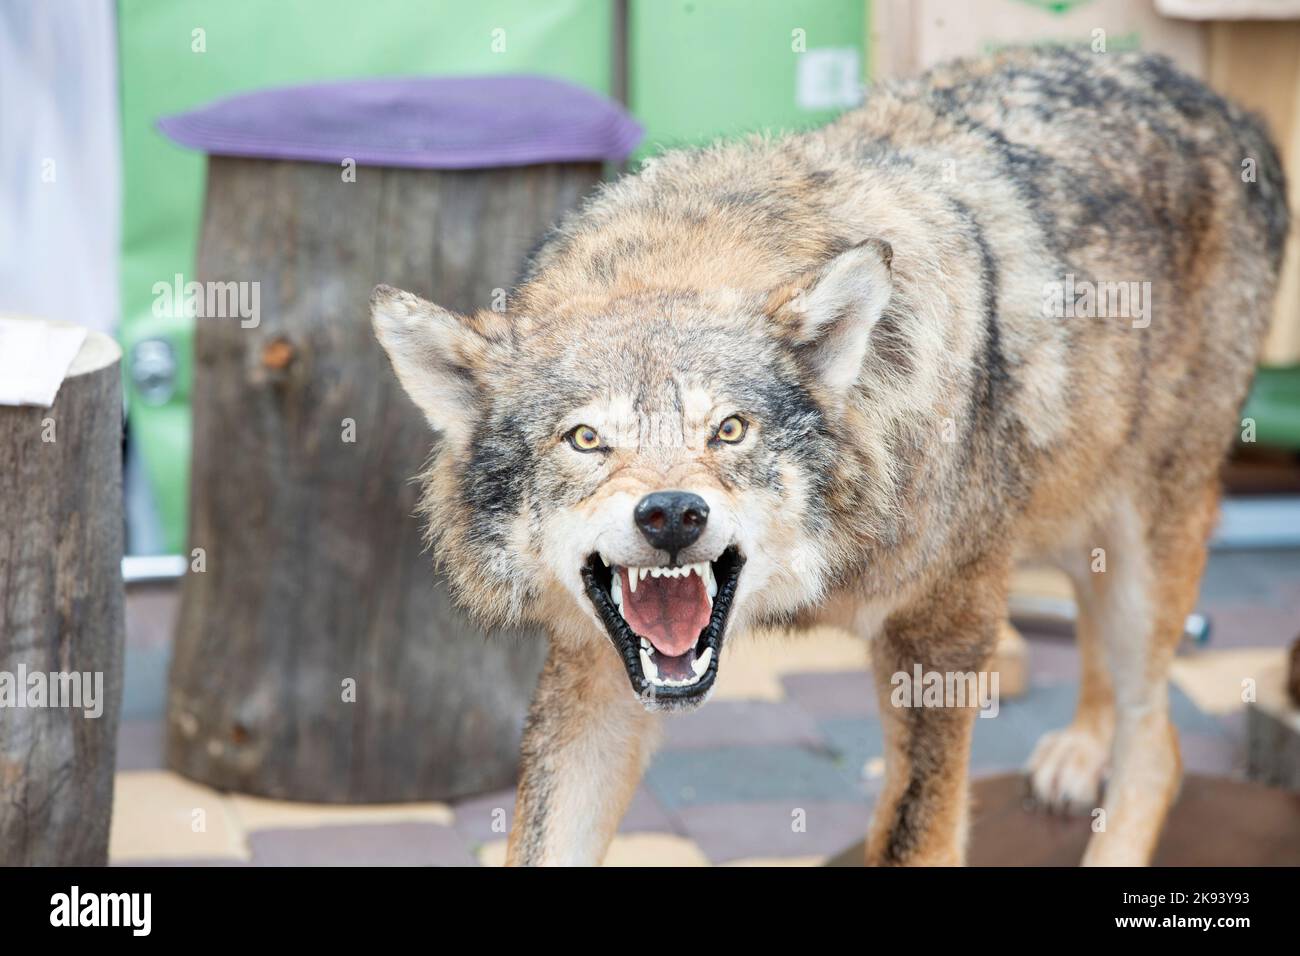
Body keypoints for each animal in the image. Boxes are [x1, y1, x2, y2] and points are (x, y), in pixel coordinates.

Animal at [371, 46, 1284, 868]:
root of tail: (1230, 110)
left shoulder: (941, 634)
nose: (671, 514)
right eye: (586, 439)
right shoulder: (595, 665)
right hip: (1072, 511)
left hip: (1138, 549)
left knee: (1159, 741)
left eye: (729, 430)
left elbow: (914, 837)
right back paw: (1079, 750)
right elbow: (541, 840)